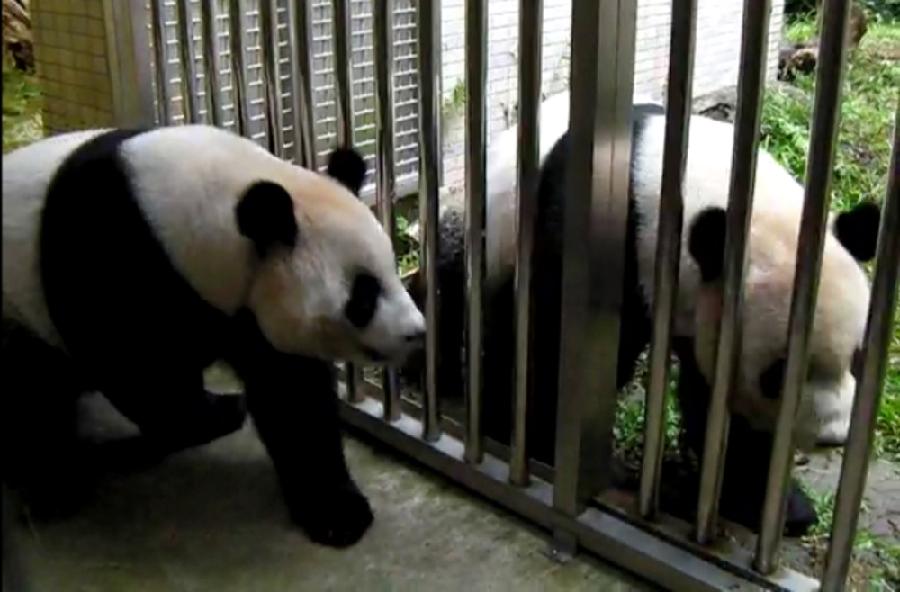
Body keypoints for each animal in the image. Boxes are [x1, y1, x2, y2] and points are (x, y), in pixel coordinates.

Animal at [2, 126, 426, 552]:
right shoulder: (104, 256)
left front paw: (337, 510)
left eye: (393, 270)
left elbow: (292, 395)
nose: (416, 333)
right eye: (363, 297)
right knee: (34, 396)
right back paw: (63, 485)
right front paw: (208, 416)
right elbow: (139, 371)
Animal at [412, 91, 884, 536]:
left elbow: (716, 400)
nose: (833, 437)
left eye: (858, 356)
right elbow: (555, 343)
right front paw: (543, 446)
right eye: (779, 374)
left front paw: (777, 509)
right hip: (493, 225)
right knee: (465, 289)